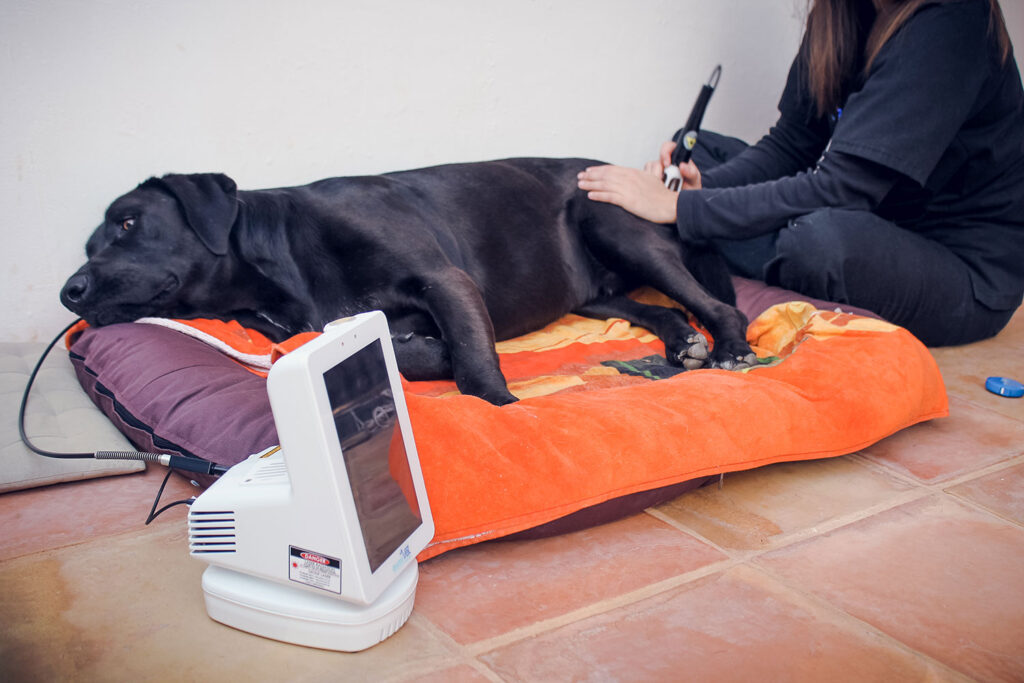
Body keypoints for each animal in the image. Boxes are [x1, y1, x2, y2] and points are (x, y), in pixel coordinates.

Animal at [61, 158, 753, 405]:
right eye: (88, 245)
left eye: (128, 223)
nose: (70, 291)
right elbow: (405, 352)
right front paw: (424, 352)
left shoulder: (446, 281)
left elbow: (473, 365)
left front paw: (502, 406)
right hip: (596, 297)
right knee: (661, 309)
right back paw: (682, 342)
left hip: (613, 224)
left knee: (720, 306)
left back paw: (729, 348)